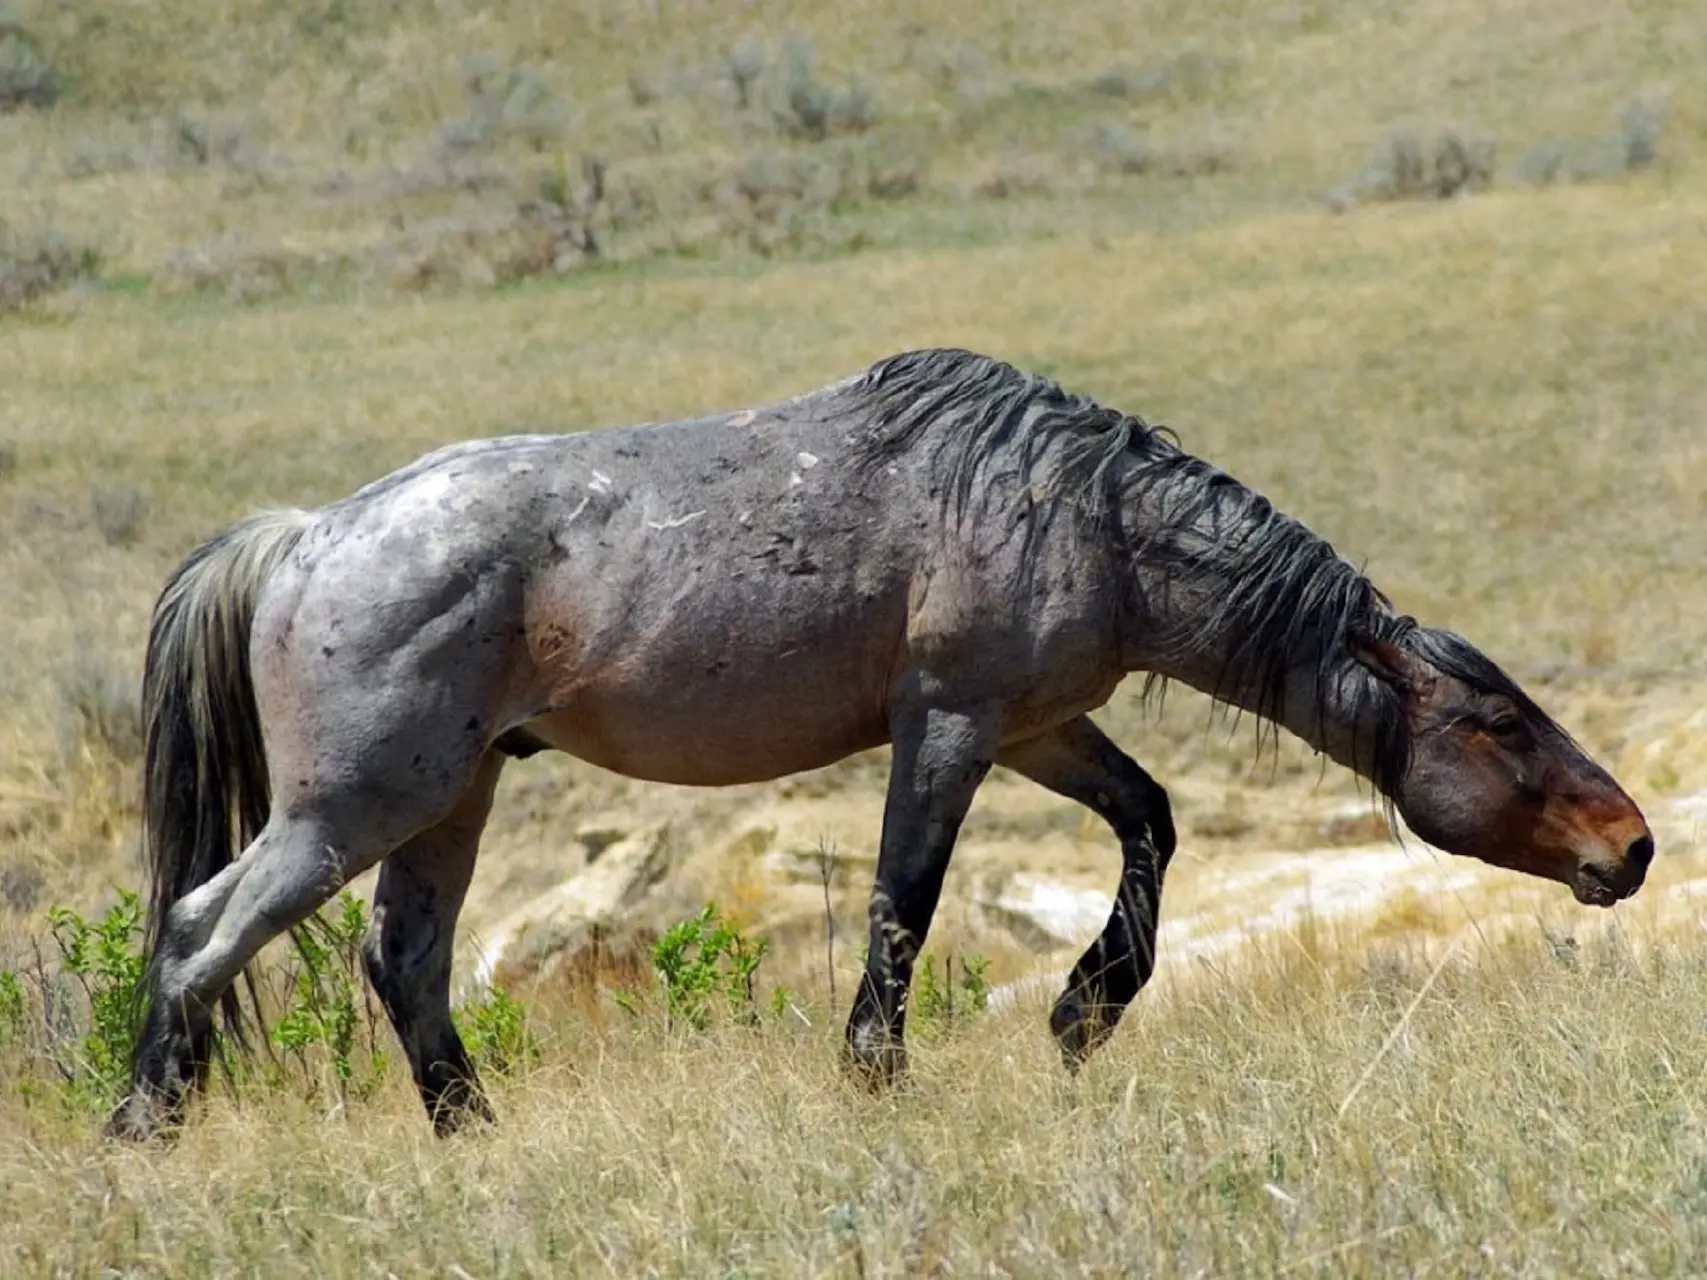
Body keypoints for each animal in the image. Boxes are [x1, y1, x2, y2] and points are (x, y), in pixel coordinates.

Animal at [106, 348, 1652, 1140]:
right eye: (1496, 720)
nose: (1630, 845)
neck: (1076, 506)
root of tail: (303, 536)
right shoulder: (952, 723)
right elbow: (902, 903)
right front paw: (878, 1076)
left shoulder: (1042, 726)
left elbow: (1149, 822)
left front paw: (1083, 1012)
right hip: (349, 809)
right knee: (199, 929)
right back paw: (145, 1132)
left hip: (450, 798)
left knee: (402, 962)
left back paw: (472, 1135)